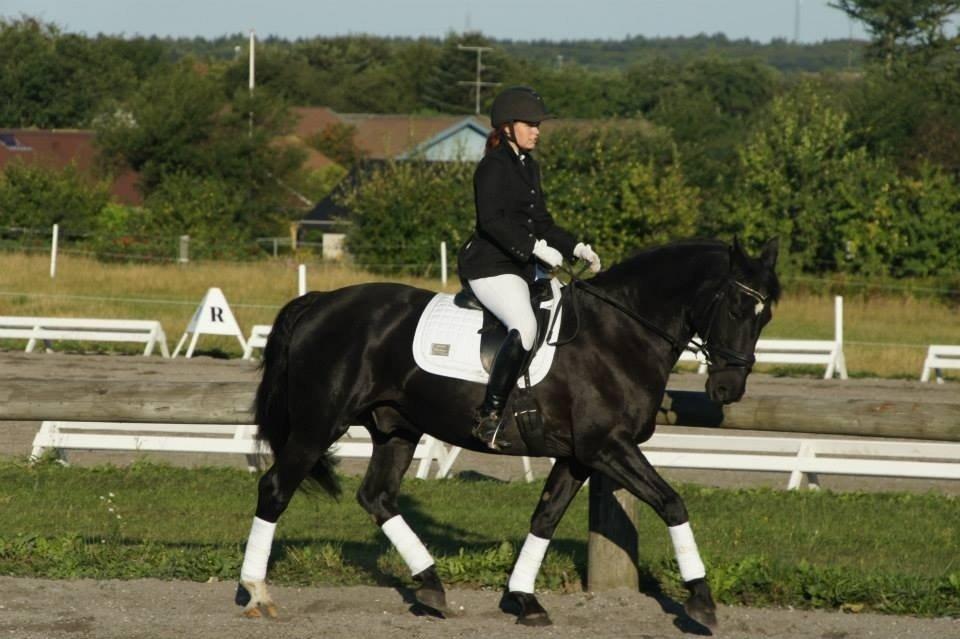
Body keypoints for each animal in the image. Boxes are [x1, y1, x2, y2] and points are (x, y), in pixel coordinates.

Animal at [235, 237, 780, 629]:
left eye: (766, 315)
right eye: (736, 308)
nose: (728, 388)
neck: (618, 334)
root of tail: (320, 302)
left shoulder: (579, 455)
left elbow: (545, 518)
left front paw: (524, 599)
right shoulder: (607, 446)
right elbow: (671, 502)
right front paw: (702, 600)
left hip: (395, 429)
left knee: (376, 497)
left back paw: (431, 586)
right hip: (317, 425)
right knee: (276, 488)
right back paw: (257, 593)